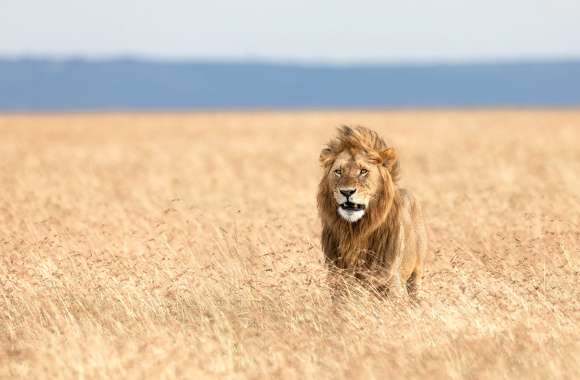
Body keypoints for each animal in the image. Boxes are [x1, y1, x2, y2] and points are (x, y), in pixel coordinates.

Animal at [318, 126, 426, 298]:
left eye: (363, 171)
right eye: (338, 171)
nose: (346, 192)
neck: (355, 232)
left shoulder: (391, 282)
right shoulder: (337, 280)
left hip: (416, 274)